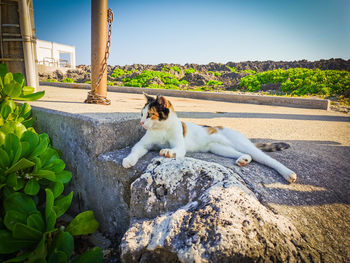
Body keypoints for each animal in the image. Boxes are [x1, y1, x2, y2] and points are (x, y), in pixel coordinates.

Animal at [121, 94, 296, 184]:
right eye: (141, 114)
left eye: (150, 115)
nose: (141, 122)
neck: (161, 129)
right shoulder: (144, 144)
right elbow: (136, 149)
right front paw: (128, 160)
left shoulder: (179, 144)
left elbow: (176, 149)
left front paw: (168, 152)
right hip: (220, 148)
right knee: (243, 154)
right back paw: (243, 160)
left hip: (241, 143)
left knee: (267, 159)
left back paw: (289, 174)